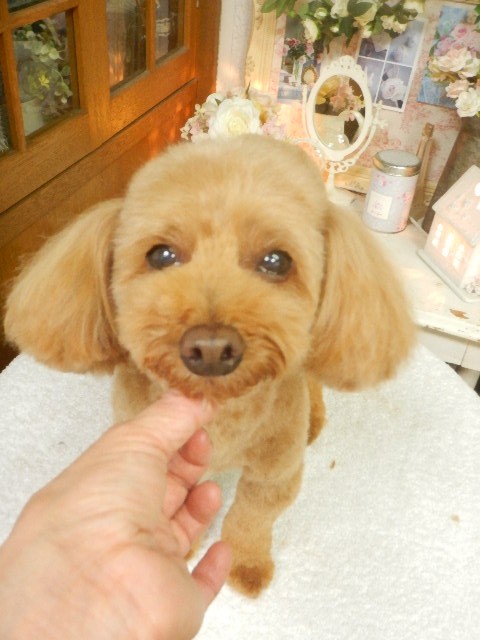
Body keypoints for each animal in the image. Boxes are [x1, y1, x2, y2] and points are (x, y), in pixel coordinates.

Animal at [4, 135, 414, 597]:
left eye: (277, 261)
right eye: (161, 255)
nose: (212, 348)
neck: (224, 416)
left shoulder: (275, 475)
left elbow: (251, 520)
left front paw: (246, 564)